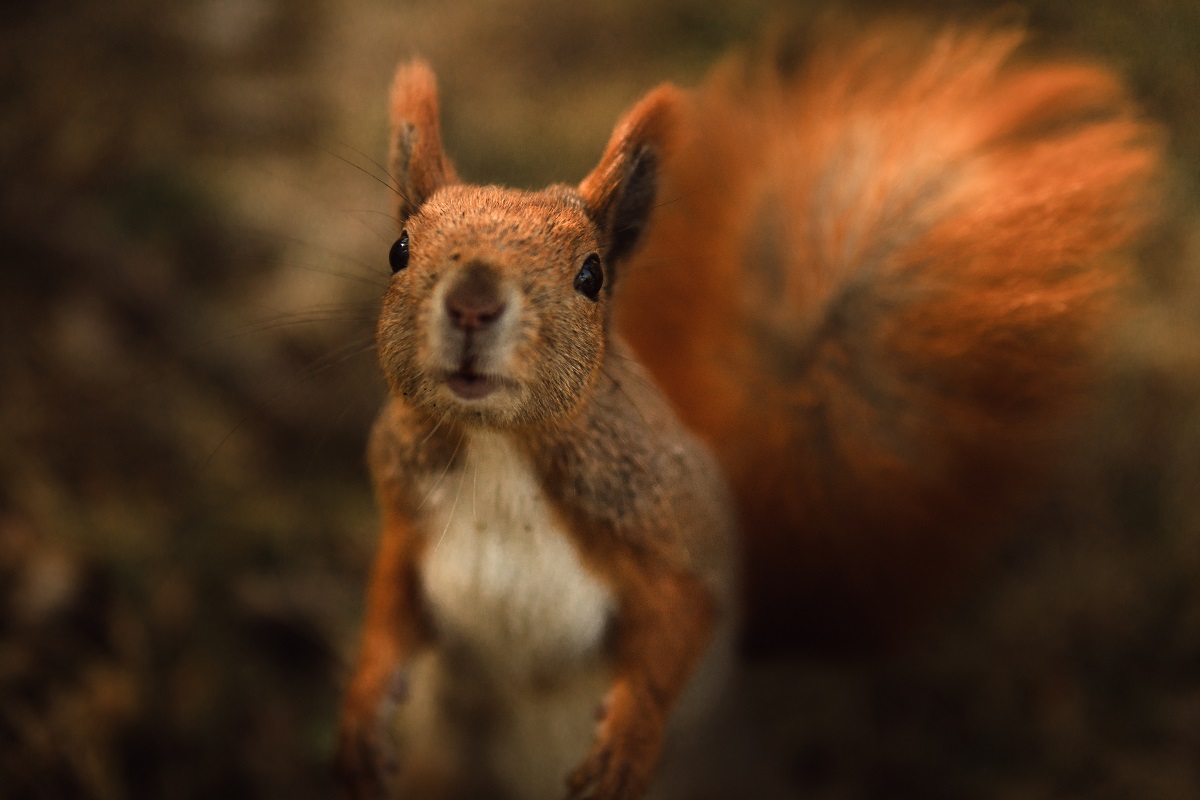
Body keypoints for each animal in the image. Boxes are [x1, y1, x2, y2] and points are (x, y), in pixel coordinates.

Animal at [333, 21, 1160, 800]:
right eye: (399, 249)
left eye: (591, 275)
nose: (473, 304)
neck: (498, 449)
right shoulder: (409, 518)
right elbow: (387, 605)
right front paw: (361, 716)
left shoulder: (672, 531)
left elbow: (680, 623)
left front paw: (629, 739)